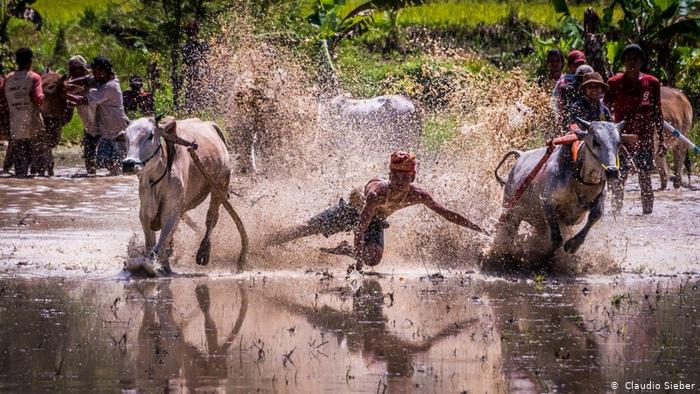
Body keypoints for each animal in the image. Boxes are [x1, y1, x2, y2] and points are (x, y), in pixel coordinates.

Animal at [121, 117, 237, 274]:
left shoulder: (172, 212)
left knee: (212, 218)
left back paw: (203, 252)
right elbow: (151, 243)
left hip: (219, 188)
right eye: (125, 136)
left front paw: (153, 265)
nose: (128, 164)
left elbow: (158, 246)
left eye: (151, 135)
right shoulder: (145, 212)